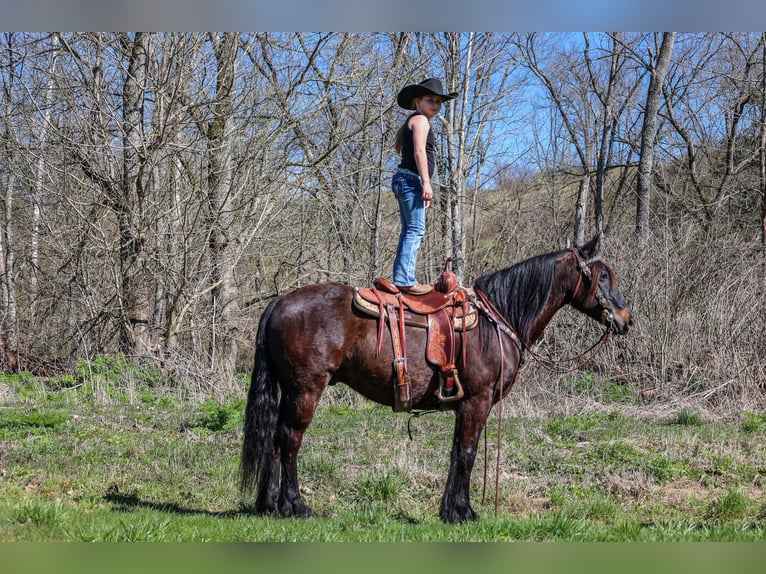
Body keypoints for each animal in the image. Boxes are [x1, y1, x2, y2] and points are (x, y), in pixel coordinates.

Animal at [242, 236, 636, 524]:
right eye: (602, 277)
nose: (625, 319)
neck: (499, 319)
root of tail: (279, 302)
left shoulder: (466, 404)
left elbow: (457, 452)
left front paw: (452, 509)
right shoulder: (477, 401)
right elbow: (467, 453)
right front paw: (462, 513)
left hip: (290, 391)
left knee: (274, 441)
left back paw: (270, 505)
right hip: (306, 389)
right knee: (289, 440)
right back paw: (295, 506)